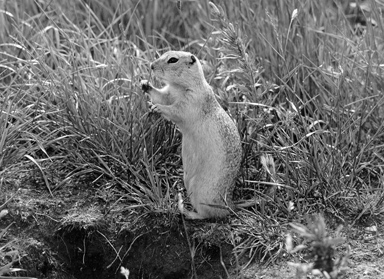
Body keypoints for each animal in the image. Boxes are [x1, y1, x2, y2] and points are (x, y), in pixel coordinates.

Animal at [142, 50, 242, 221]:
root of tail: (230, 205)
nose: (151, 66)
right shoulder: (169, 93)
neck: (179, 87)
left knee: (207, 215)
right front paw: (145, 84)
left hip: (201, 191)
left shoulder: (191, 101)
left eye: (173, 60)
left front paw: (157, 107)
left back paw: (186, 210)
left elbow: (175, 111)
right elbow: (161, 96)